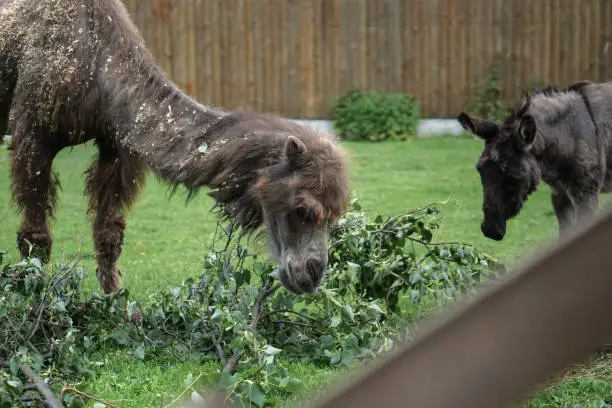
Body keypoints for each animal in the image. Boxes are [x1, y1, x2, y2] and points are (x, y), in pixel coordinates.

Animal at [0, 0, 352, 294]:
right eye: (303, 209)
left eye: (336, 214)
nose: (313, 274)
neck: (99, 65)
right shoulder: (32, 135)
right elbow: (35, 239)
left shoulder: (116, 146)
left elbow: (108, 235)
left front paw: (117, 310)